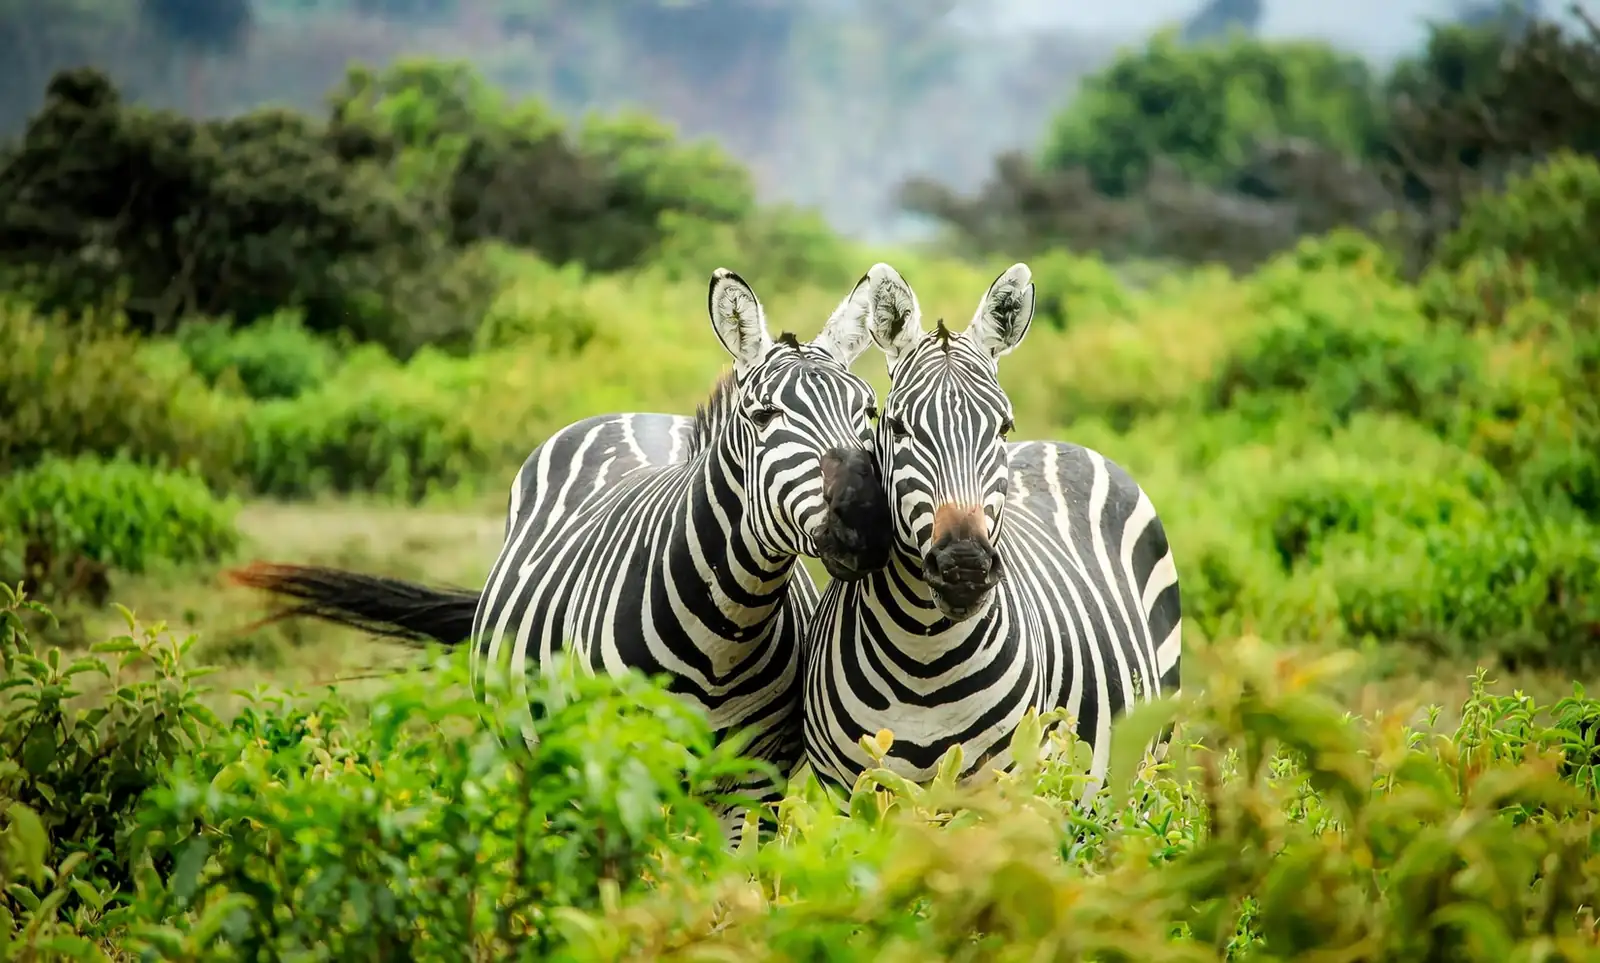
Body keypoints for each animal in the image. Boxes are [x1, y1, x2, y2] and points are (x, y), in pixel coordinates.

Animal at [229, 267, 894, 844]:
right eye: (764, 415)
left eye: (869, 410)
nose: (866, 518)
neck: (725, 633)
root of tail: (638, 415)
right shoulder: (614, 770)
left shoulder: (754, 786)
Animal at [800, 262, 1183, 810]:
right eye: (896, 426)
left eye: (1003, 428)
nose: (964, 567)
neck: (924, 658)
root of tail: (1063, 443)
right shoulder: (853, 796)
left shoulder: (1004, 792)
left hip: (1145, 767)